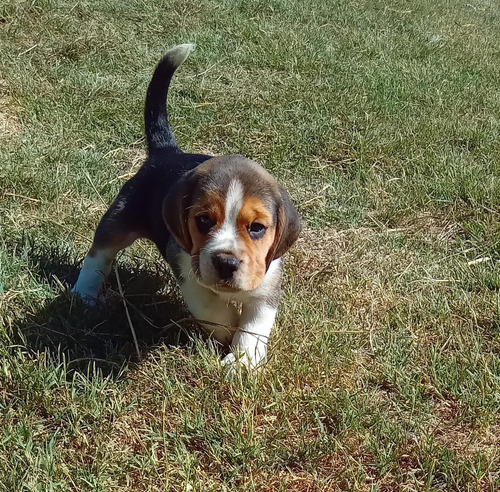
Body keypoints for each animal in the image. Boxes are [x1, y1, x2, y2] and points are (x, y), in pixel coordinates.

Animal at [72, 44, 300, 370]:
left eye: (257, 228)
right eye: (203, 221)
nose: (226, 263)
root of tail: (167, 151)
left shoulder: (267, 285)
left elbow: (254, 327)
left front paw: (241, 363)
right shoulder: (185, 267)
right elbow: (209, 307)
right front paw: (227, 325)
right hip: (118, 221)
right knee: (98, 255)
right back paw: (84, 294)